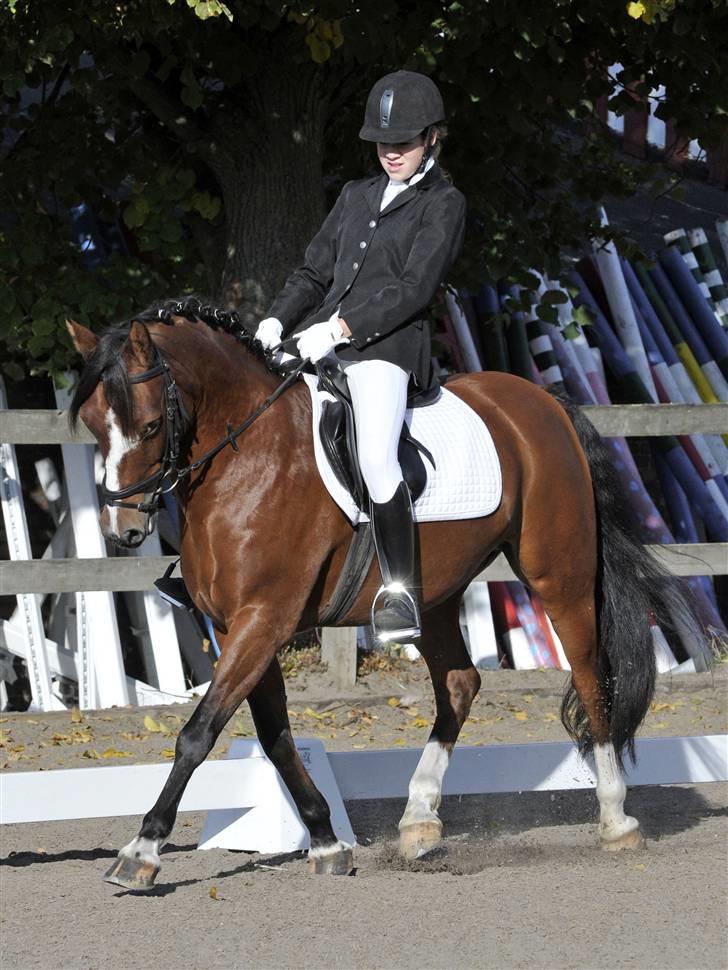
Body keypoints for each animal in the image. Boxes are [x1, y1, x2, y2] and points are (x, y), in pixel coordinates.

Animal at [66, 298, 701, 891]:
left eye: (151, 426)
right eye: (95, 425)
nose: (122, 530)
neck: (248, 458)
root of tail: (541, 401)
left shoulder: (264, 618)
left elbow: (198, 734)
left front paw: (141, 851)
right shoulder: (235, 625)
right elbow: (274, 737)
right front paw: (326, 840)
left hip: (558, 574)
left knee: (592, 678)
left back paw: (616, 820)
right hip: (435, 595)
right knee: (459, 685)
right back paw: (419, 819)